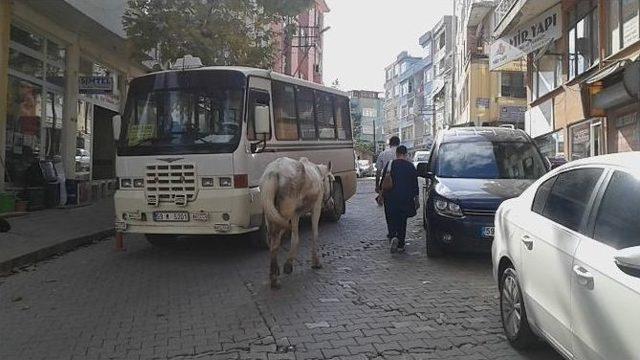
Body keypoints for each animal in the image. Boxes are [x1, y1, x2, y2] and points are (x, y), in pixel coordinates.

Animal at [260, 158, 336, 290]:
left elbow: (295, 237)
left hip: (270, 214)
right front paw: (315, 262)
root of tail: (273, 172)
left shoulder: (295, 214)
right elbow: (314, 233)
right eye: (332, 179)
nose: (331, 203)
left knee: (272, 239)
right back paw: (274, 279)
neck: (318, 175)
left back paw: (274, 271)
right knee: (275, 242)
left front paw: (289, 264)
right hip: (284, 213)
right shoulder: (315, 207)